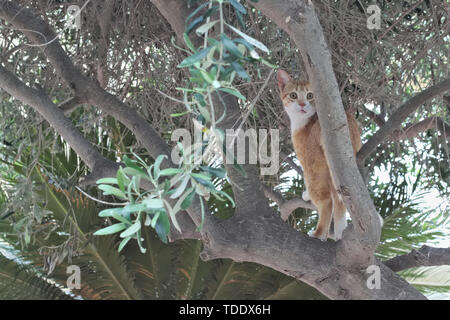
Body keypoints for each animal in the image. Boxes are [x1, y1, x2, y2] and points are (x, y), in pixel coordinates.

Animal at [278, 69, 362, 240]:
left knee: (327, 201)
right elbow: (339, 201)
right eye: (293, 95)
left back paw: (318, 233)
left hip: (313, 168)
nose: (302, 104)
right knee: (339, 199)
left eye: (310, 95)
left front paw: (306, 195)